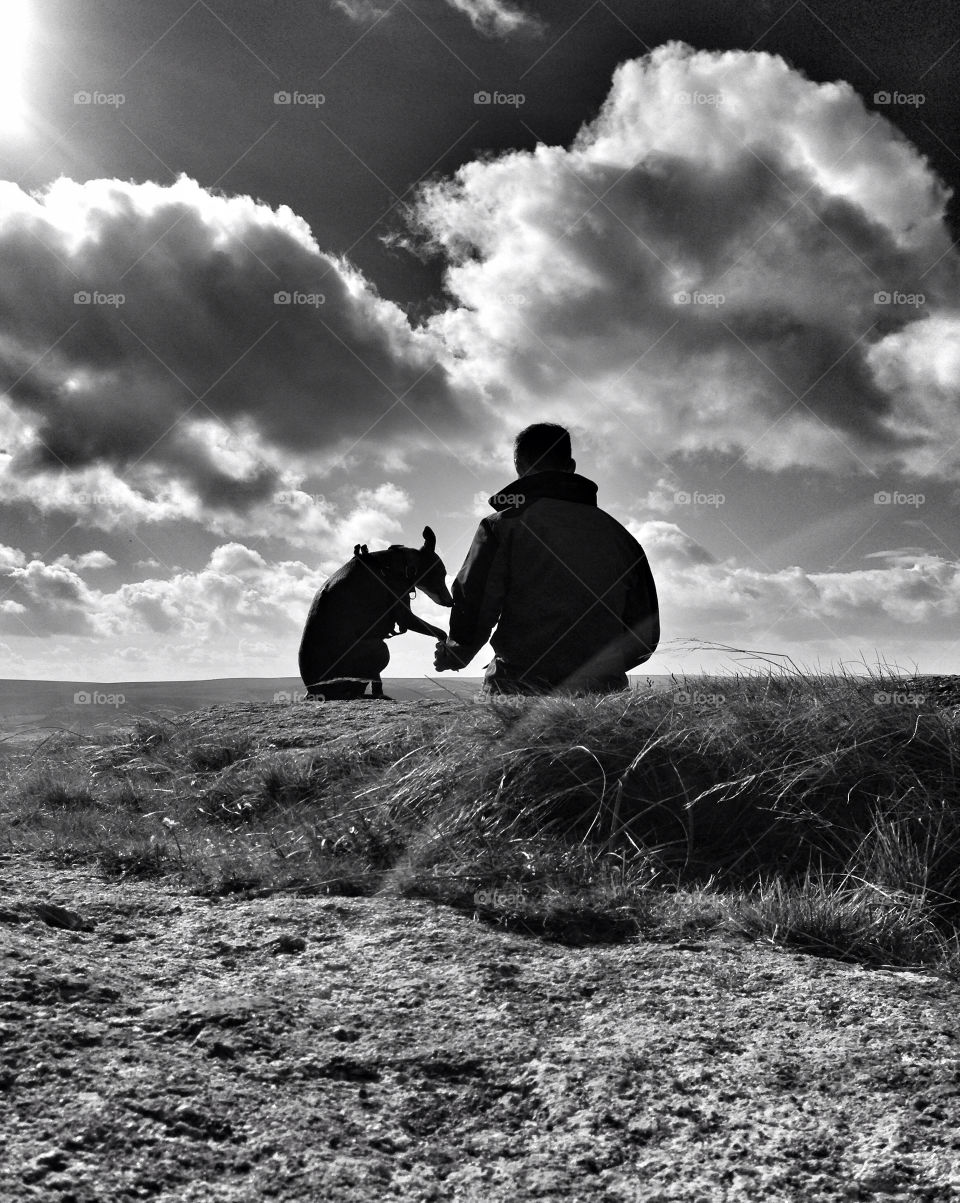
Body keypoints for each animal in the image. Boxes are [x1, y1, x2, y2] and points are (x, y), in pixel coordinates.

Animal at [298, 524, 452, 702]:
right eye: (442, 573)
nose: (452, 602)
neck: (401, 563)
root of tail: (312, 692)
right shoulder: (405, 616)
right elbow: (441, 633)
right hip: (381, 648)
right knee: (358, 688)